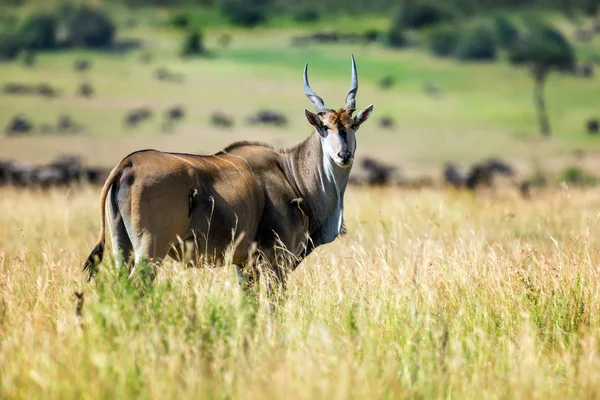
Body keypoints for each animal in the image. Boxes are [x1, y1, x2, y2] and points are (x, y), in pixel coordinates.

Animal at [83, 55, 376, 288]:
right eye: (325, 127)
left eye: (352, 125)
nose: (344, 155)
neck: (291, 173)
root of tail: (128, 163)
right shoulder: (276, 260)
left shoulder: (244, 264)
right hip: (151, 249)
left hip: (123, 248)